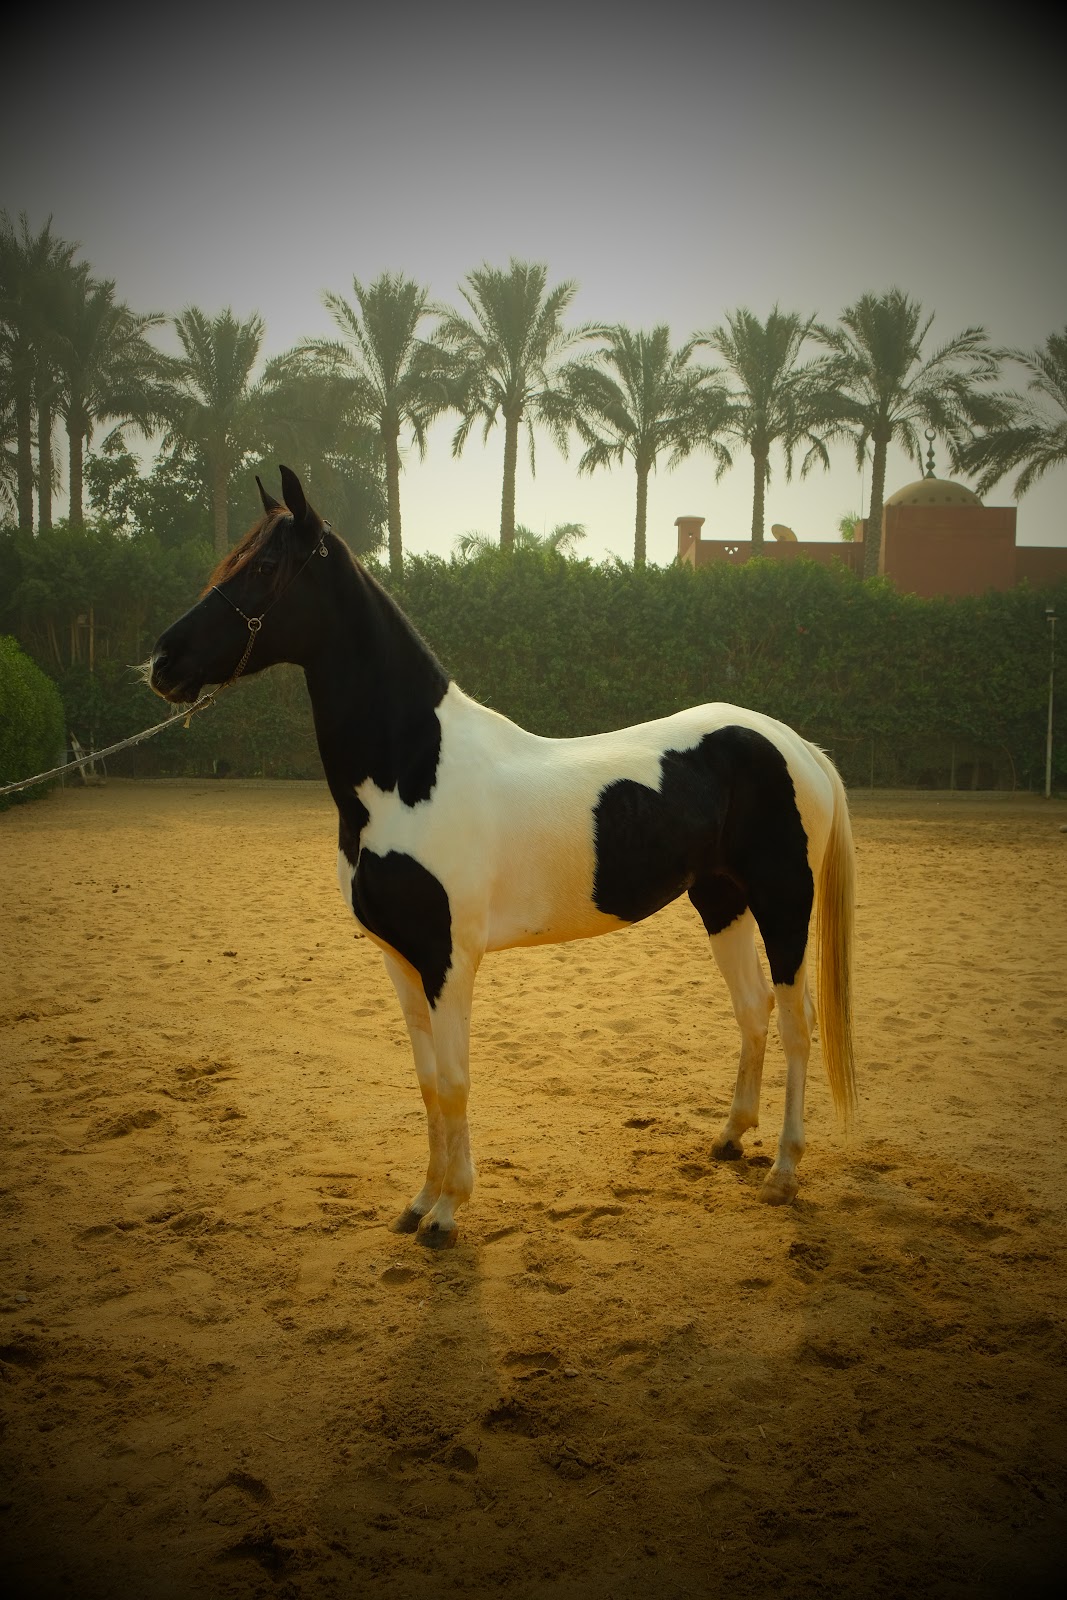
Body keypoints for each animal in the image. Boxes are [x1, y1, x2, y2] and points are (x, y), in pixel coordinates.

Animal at [150, 466, 856, 1247]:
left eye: (265, 567)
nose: (162, 661)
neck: (411, 773)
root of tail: (795, 745)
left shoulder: (448, 961)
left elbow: (456, 1082)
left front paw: (448, 1213)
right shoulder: (399, 960)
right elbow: (428, 1082)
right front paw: (419, 1203)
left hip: (783, 901)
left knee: (795, 1024)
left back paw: (784, 1170)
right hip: (721, 898)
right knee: (752, 1009)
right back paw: (730, 1137)